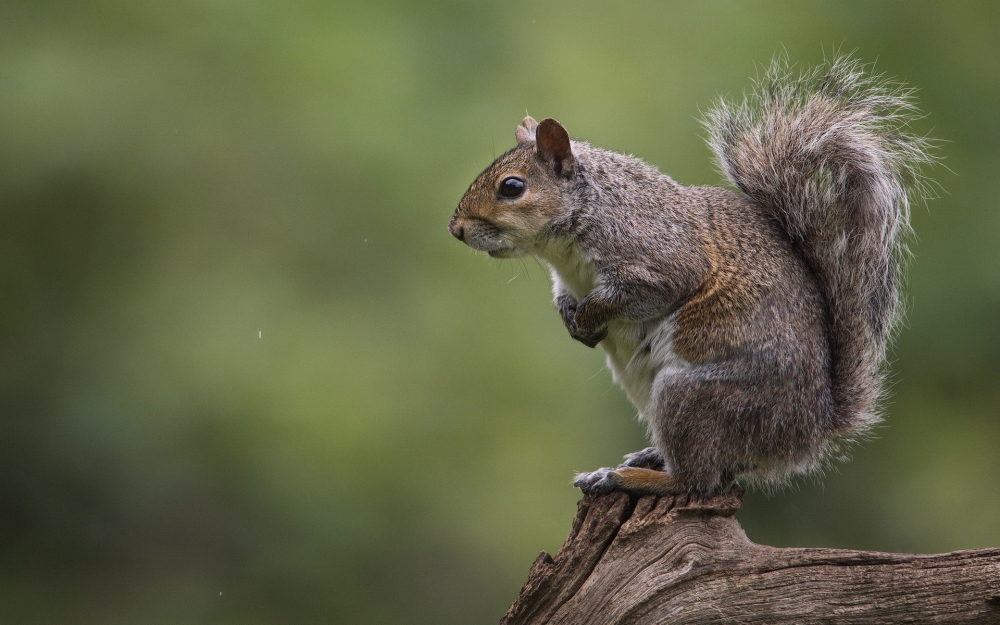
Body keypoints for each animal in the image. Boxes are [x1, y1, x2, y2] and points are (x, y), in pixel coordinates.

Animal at [450, 56, 932, 494]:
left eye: (512, 187)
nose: (456, 229)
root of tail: (804, 435)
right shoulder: (567, 277)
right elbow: (563, 297)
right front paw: (571, 317)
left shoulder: (659, 257)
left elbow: (637, 294)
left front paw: (588, 316)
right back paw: (648, 456)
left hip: (692, 397)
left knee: (696, 480)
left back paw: (628, 478)